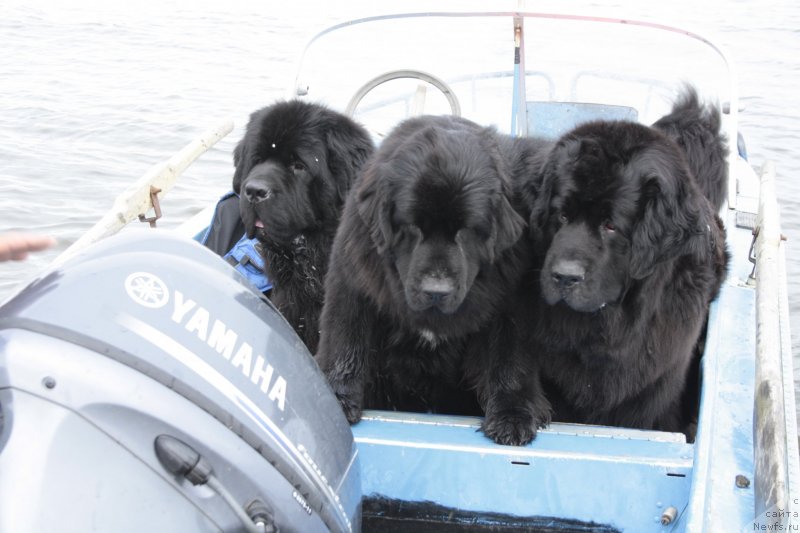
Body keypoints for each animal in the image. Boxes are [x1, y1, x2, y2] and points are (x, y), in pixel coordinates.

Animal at [316, 113, 552, 444]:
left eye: (466, 231)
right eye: (413, 228)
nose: (436, 290)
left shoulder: (508, 304)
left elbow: (508, 359)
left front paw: (512, 416)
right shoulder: (354, 281)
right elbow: (346, 340)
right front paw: (337, 398)